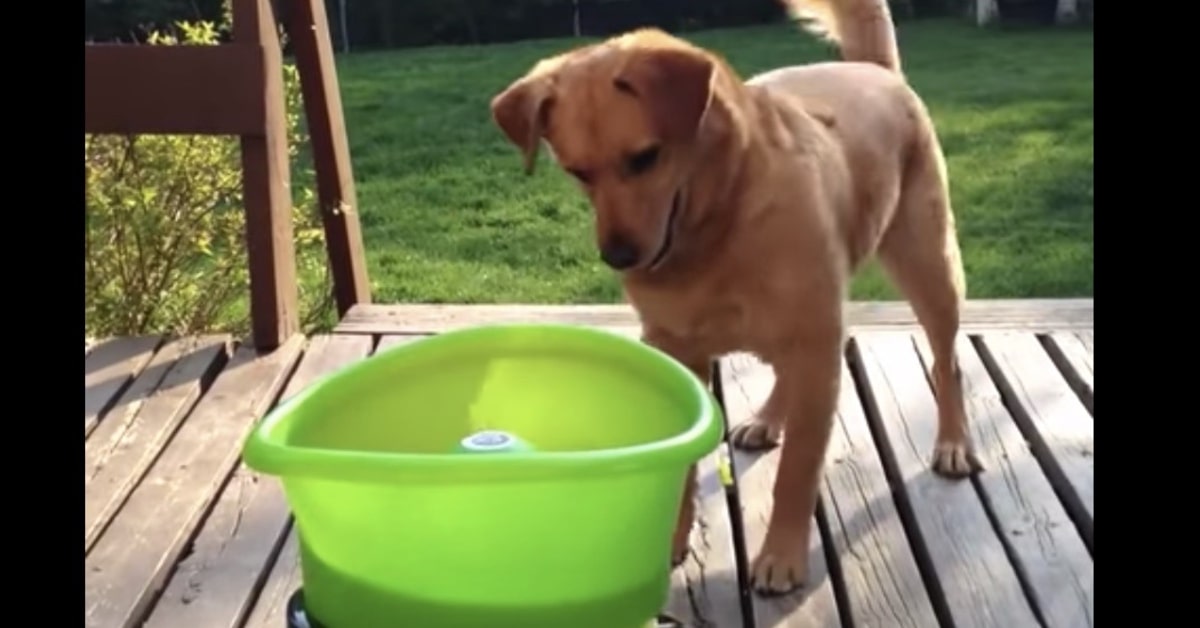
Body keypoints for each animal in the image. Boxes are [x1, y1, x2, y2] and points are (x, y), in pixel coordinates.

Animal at [489, 0, 984, 597]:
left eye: (645, 158)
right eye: (576, 171)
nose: (619, 256)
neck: (717, 229)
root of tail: (873, 69)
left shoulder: (817, 340)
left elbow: (797, 471)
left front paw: (781, 557)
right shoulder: (680, 352)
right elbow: (681, 469)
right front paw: (669, 542)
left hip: (929, 268)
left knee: (945, 360)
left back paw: (953, 442)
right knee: (789, 374)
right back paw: (768, 418)